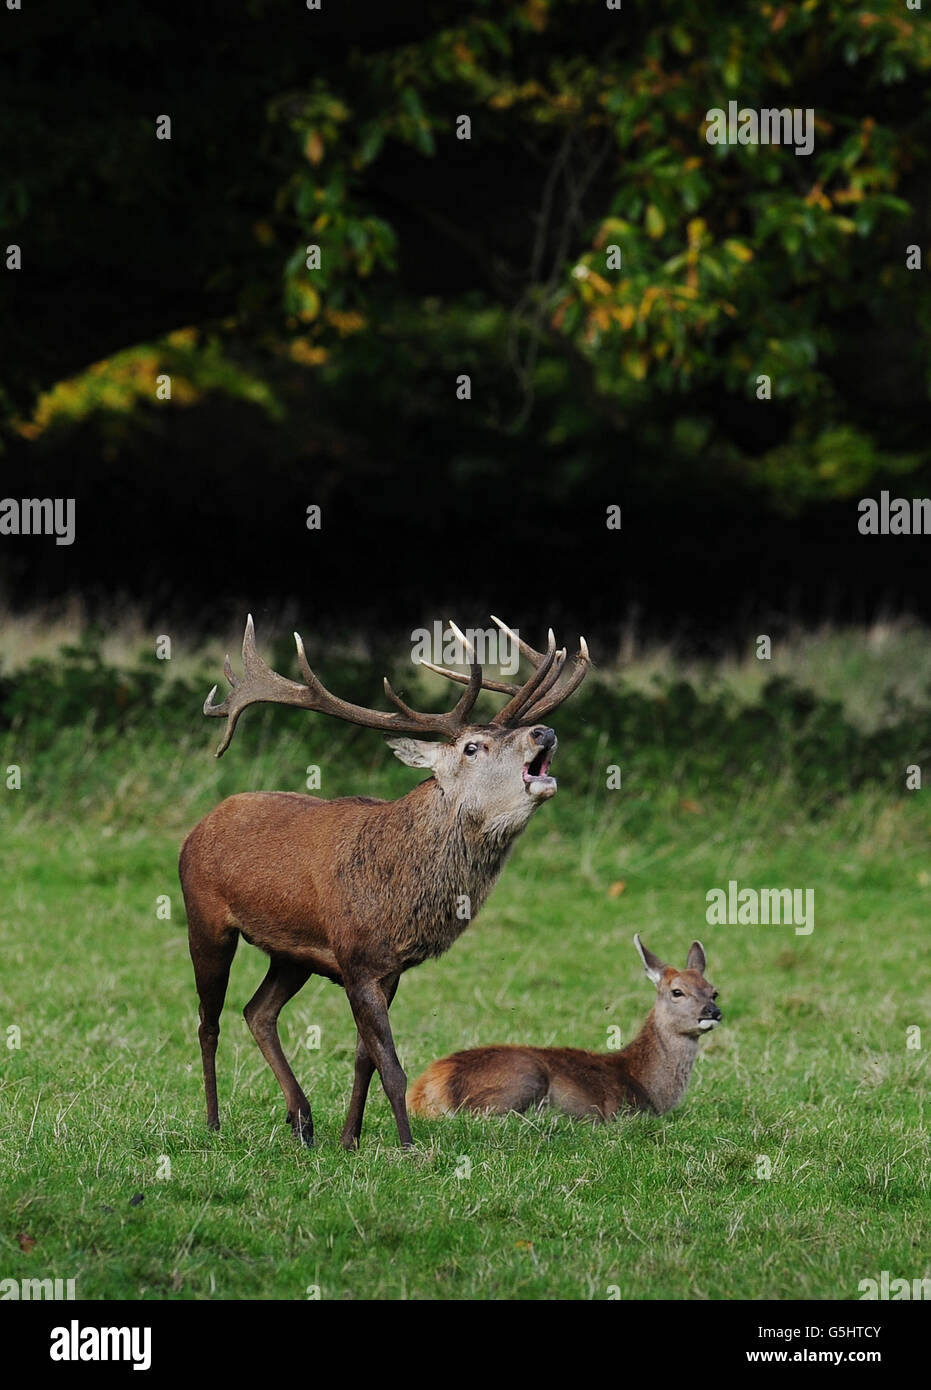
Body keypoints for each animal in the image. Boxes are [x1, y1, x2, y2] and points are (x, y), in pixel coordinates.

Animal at [179, 614, 591, 1145]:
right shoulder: (356, 959)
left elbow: (365, 1059)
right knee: (208, 1021)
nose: (544, 731)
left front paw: (349, 1140)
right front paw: (408, 1145)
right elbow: (391, 1065)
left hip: (291, 954)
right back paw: (213, 1121)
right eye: (472, 747)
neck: (398, 894)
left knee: (258, 1011)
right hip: (205, 917)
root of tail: (199, 826)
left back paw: (302, 1119)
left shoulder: (387, 969)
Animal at [408, 934, 722, 1117]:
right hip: (525, 1076)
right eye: (677, 991)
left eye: (714, 991)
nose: (714, 1011)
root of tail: (426, 1089)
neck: (650, 1088)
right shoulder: (624, 1113)